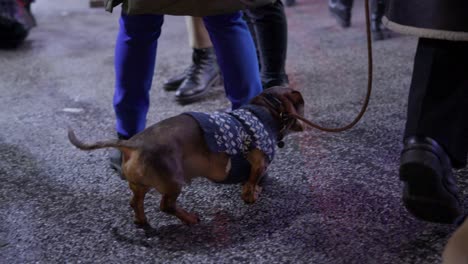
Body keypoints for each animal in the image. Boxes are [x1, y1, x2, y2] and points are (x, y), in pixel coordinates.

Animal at [67, 86, 306, 227]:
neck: (265, 110)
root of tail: (132, 144)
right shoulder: (259, 163)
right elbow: (251, 183)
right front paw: (252, 194)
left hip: (140, 185)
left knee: (135, 202)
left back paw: (142, 222)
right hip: (173, 182)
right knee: (166, 206)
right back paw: (190, 218)